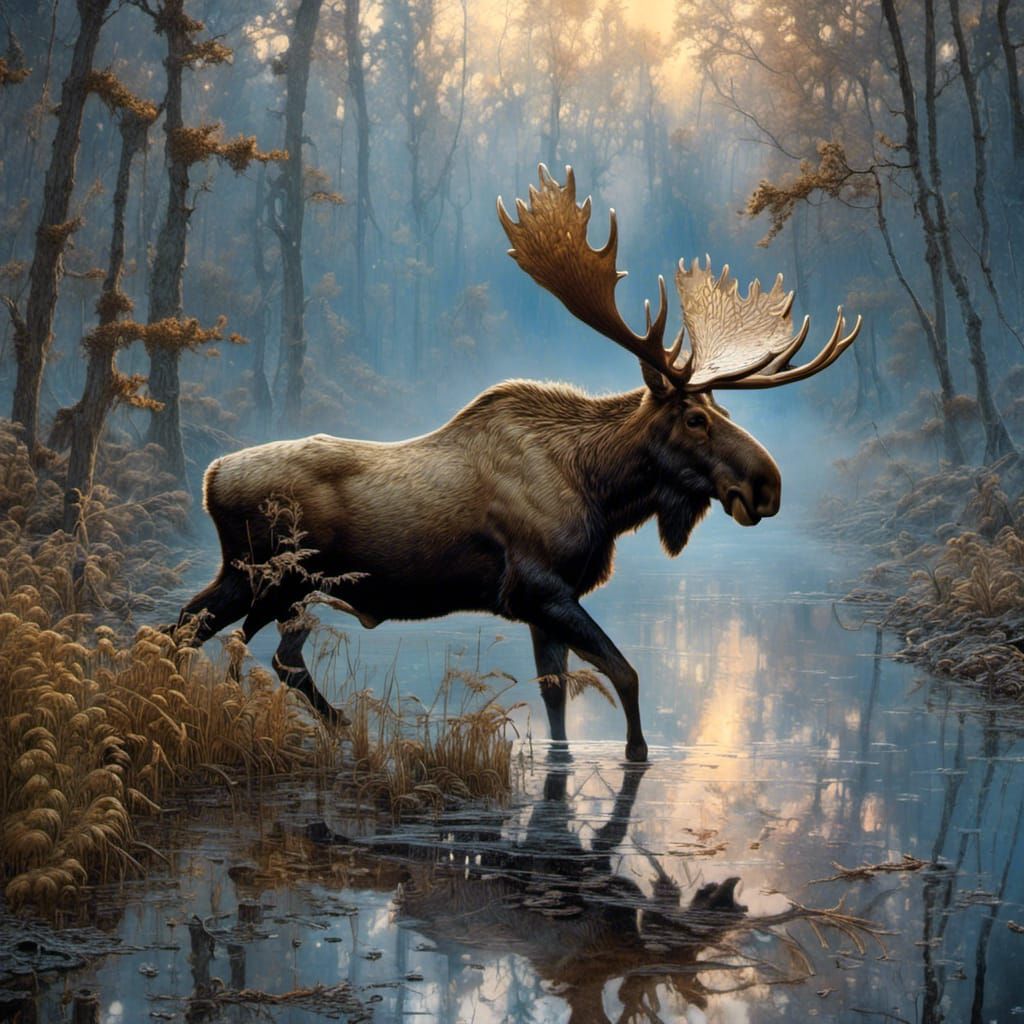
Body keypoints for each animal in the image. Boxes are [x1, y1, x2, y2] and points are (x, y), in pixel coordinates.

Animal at [174, 165, 860, 763]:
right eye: (695, 418)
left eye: (722, 408)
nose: (767, 485)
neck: (601, 490)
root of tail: (209, 478)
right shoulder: (540, 587)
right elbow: (625, 674)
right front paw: (637, 755)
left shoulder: (545, 606)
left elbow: (557, 702)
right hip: (280, 579)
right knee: (236, 642)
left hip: (270, 581)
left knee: (209, 631)